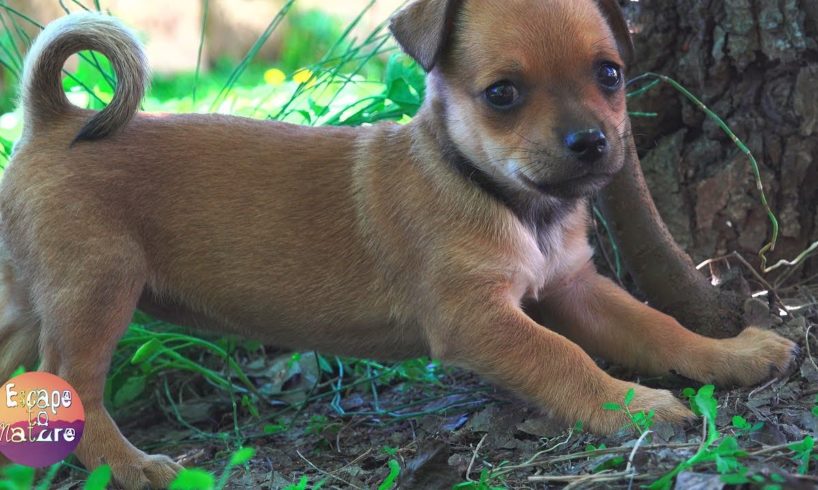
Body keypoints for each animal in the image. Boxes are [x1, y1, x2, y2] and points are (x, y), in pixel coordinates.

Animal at [0, 1, 792, 488]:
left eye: (610, 74)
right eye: (502, 94)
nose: (593, 144)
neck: (504, 198)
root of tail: (55, 118)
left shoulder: (575, 287)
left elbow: (659, 327)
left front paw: (734, 354)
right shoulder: (480, 320)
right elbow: (562, 357)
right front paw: (633, 407)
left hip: (29, 305)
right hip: (98, 290)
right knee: (73, 382)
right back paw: (130, 465)